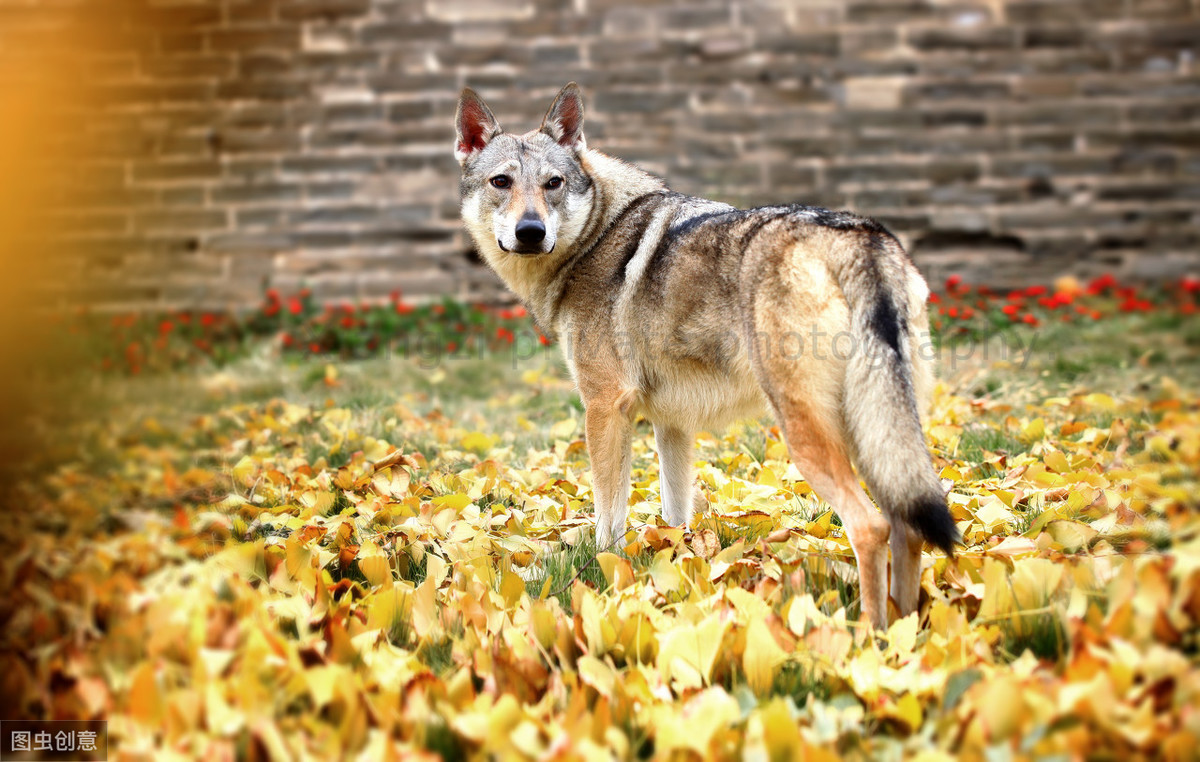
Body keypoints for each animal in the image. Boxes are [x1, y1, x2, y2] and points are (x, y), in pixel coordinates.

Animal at [453, 83, 960, 633]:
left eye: (553, 183)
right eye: (501, 182)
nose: (530, 231)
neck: (596, 237)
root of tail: (860, 237)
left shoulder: (605, 408)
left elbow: (608, 517)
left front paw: (606, 582)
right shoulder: (671, 423)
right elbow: (677, 515)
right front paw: (679, 578)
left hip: (809, 435)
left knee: (870, 526)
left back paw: (869, 636)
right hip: (879, 436)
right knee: (907, 526)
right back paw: (906, 632)